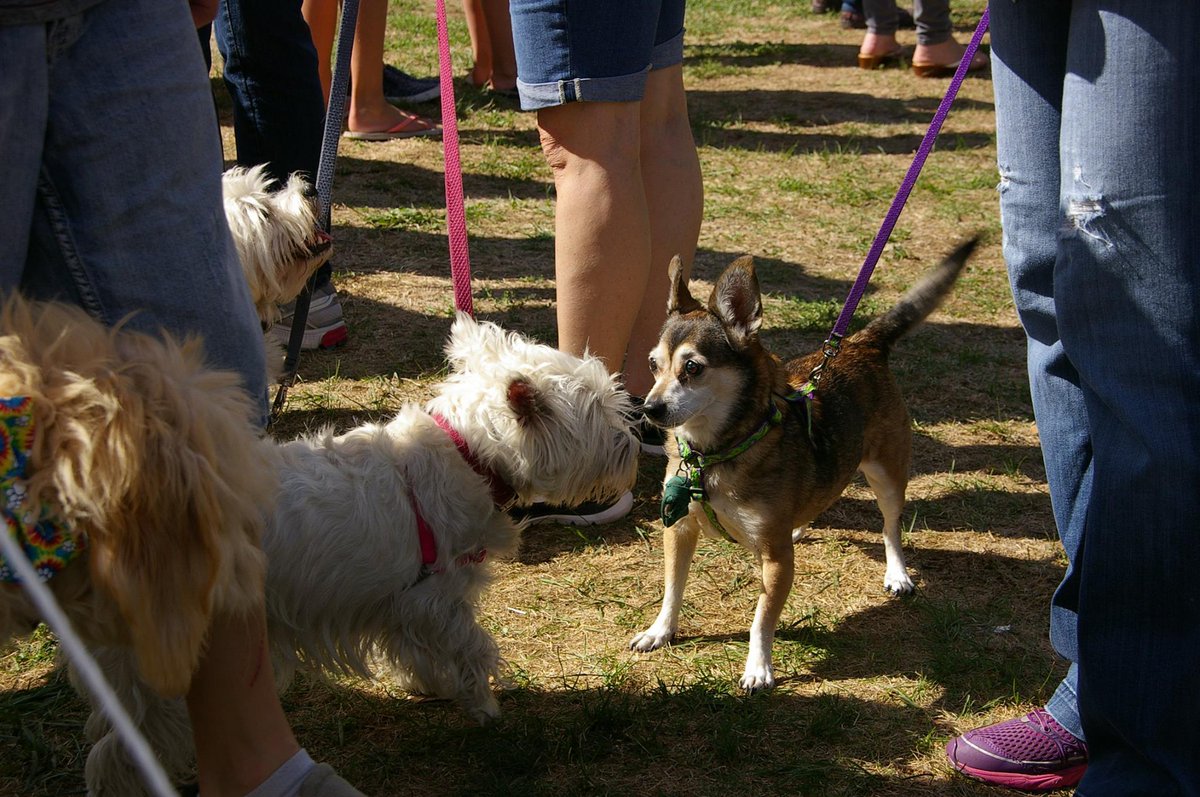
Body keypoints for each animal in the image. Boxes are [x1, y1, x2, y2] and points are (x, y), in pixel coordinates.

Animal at [82, 314, 648, 792]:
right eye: (599, 411)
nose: (636, 440)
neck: (469, 456)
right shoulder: (436, 597)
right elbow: (473, 646)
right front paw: (484, 705)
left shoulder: (400, 601)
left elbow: (413, 651)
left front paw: (428, 685)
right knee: (120, 750)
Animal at [628, 237, 974, 691]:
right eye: (652, 365)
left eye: (692, 368)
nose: (649, 409)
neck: (715, 452)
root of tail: (862, 342)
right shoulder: (680, 528)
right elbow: (672, 587)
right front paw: (660, 631)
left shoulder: (776, 562)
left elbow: (762, 618)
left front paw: (758, 667)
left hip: (887, 475)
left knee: (890, 525)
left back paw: (897, 573)